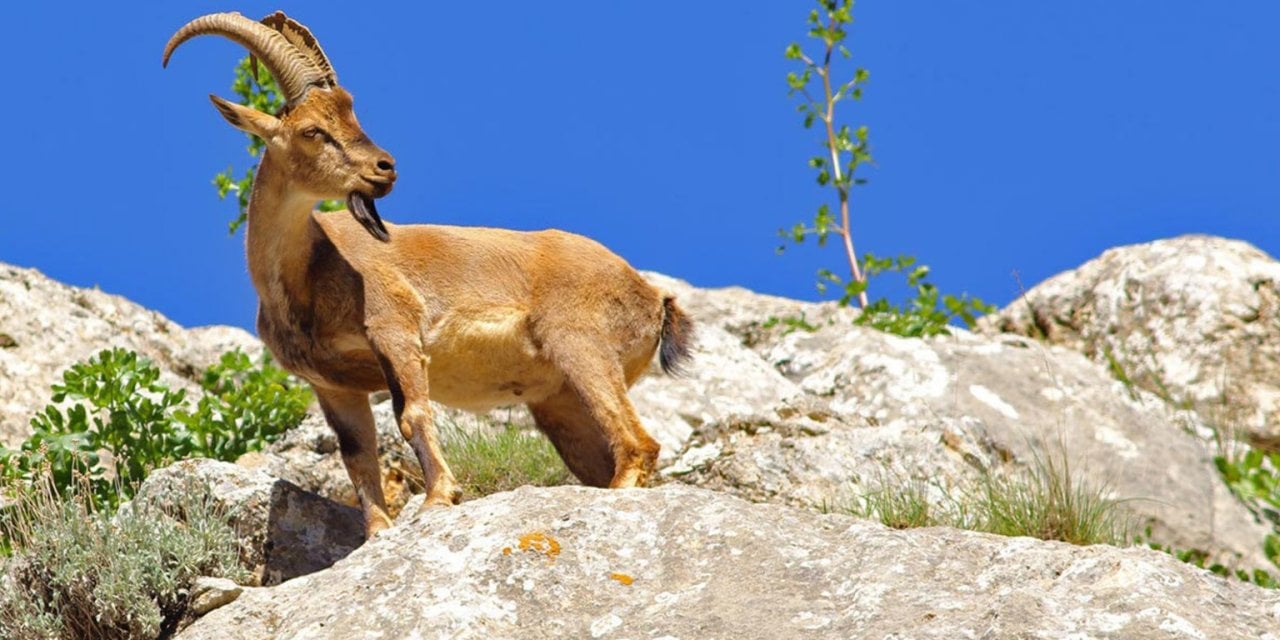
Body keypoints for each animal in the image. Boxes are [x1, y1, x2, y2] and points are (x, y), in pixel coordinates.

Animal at [167, 12, 701, 537]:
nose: (385, 167)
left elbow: (412, 415)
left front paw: (439, 497)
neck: (306, 276)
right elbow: (357, 456)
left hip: (579, 345)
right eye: (313, 130)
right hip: (560, 403)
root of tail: (653, 297)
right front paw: (377, 533)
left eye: (351, 115)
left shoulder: (395, 331)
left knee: (639, 444)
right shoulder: (334, 386)